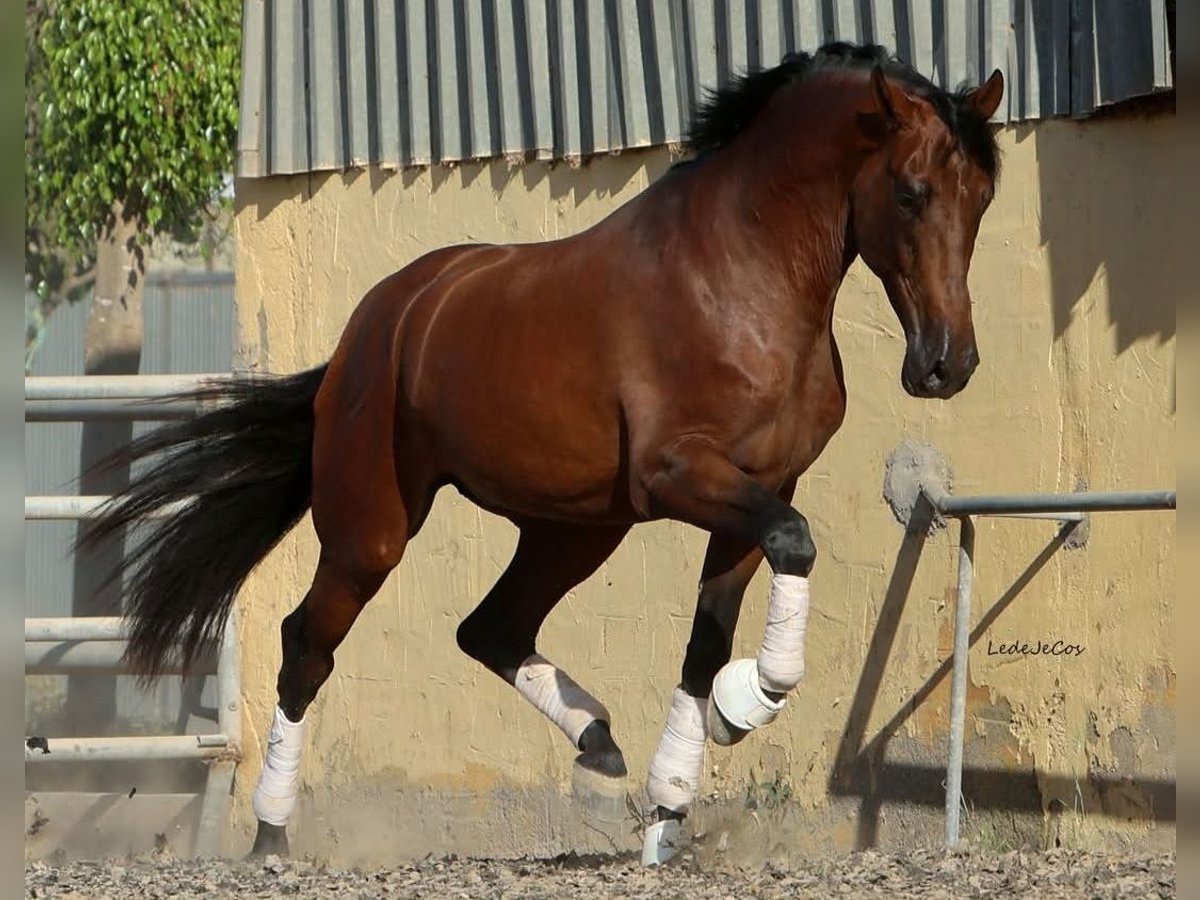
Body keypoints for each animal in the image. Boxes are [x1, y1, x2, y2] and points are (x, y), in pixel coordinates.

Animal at [84, 44, 1003, 868]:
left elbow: (712, 634)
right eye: (913, 193)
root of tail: (372, 328)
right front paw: (747, 704)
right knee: (309, 642)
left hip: (574, 529)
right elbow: (796, 542)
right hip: (372, 528)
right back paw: (271, 833)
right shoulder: (680, 477)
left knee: (489, 626)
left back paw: (596, 736)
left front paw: (678, 792)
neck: (743, 280)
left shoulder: (761, 487)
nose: (947, 364)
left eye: (984, 197)